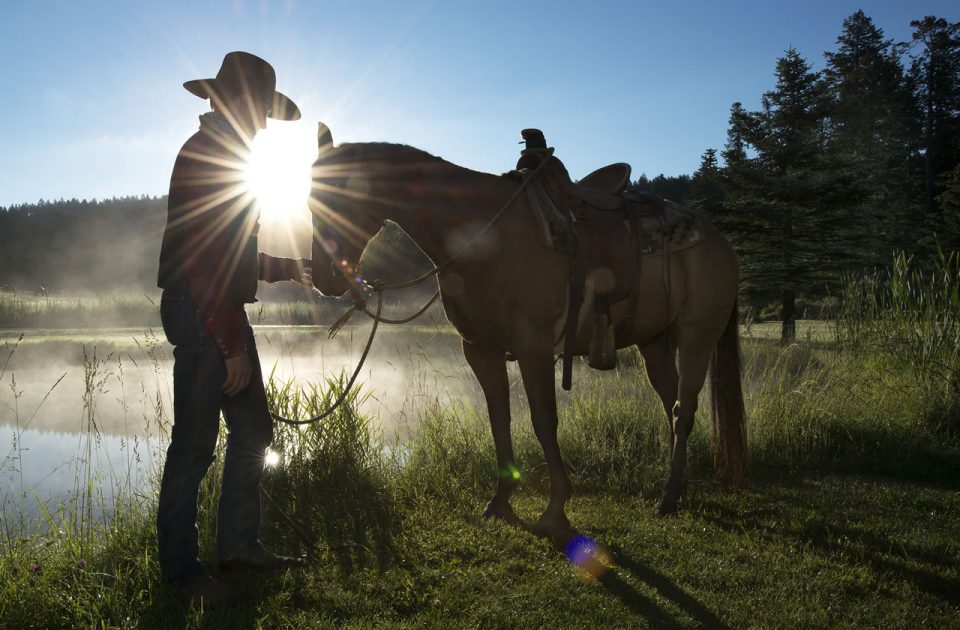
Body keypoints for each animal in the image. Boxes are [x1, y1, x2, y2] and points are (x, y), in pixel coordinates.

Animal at [310, 126, 752, 544]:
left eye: (339, 197)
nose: (322, 278)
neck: (482, 236)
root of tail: (720, 240)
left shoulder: (533, 347)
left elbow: (543, 420)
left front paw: (555, 510)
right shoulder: (479, 349)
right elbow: (499, 418)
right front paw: (501, 500)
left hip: (696, 336)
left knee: (684, 408)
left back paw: (670, 496)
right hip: (655, 341)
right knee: (671, 404)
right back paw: (677, 486)